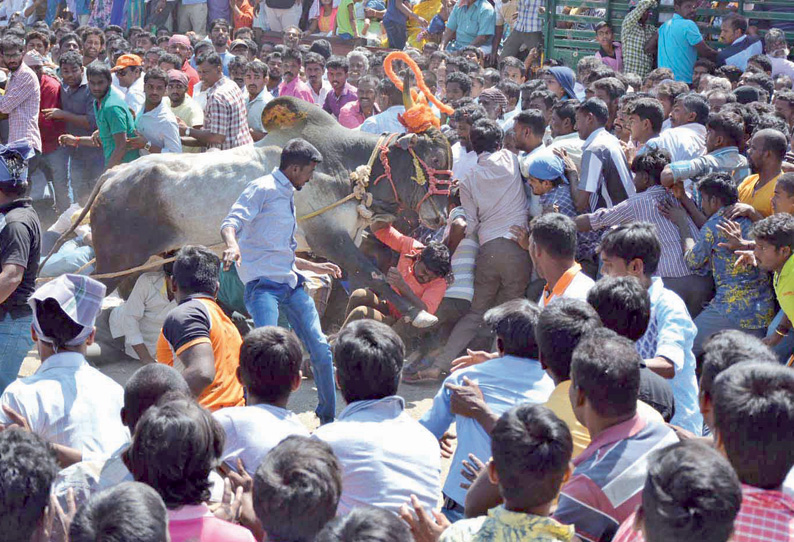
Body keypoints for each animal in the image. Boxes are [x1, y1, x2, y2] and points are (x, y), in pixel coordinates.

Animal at [86, 96, 452, 328]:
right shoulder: (331, 240)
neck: (347, 168)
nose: (442, 216)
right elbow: (374, 275)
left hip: (138, 259)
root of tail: (115, 174)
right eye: (434, 159)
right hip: (116, 259)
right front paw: (419, 314)